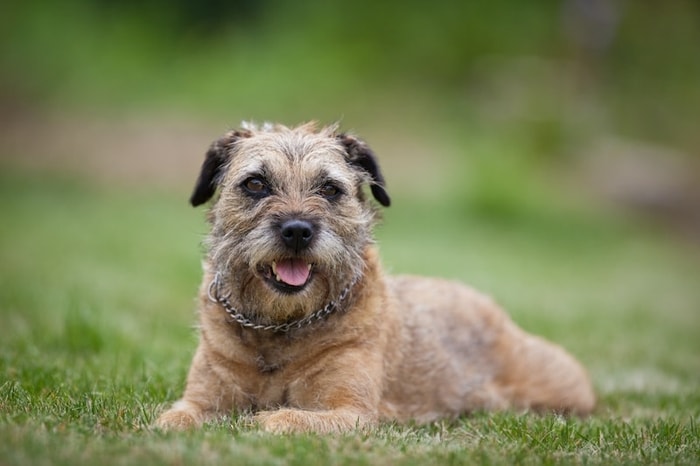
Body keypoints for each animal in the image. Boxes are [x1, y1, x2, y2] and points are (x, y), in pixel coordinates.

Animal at [156, 121, 592, 434]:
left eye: (330, 189)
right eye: (255, 184)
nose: (297, 230)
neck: (280, 328)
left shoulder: (351, 412)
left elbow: (283, 419)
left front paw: (261, 420)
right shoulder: (200, 399)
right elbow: (173, 419)